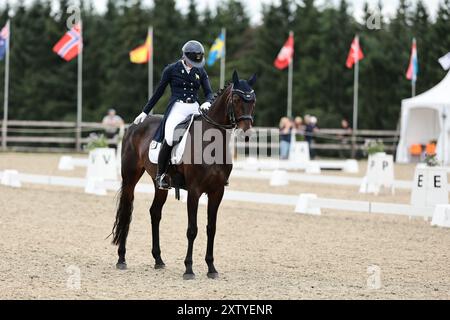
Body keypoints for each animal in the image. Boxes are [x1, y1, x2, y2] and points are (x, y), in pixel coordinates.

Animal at [111, 70, 256, 280]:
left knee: (155, 213)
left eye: (253, 100)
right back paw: (121, 259)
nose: (246, 132)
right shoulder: (194, 191)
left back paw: (158, 260)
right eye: (236, 99)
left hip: (160, 184)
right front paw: (189, 269)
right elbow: (192, 230)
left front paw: (211, 268)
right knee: (127, 209)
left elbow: (211, 229)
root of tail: (134, 126)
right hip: (130, 177)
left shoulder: (217, 192)